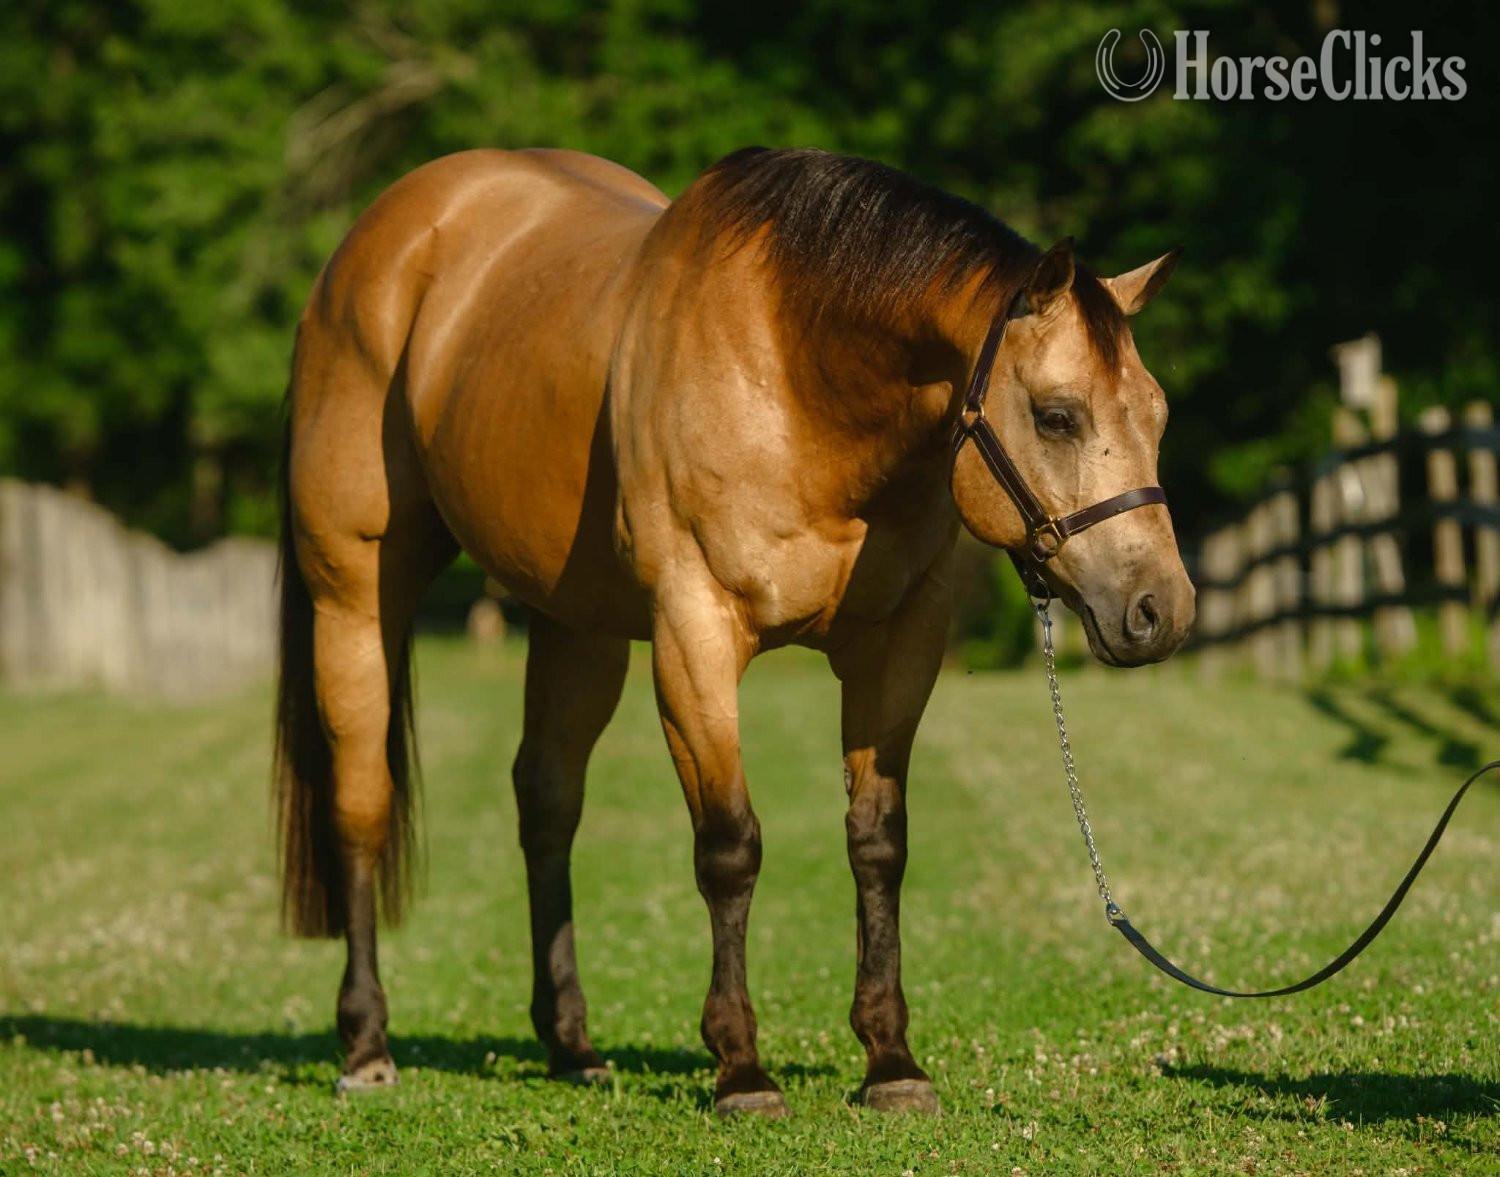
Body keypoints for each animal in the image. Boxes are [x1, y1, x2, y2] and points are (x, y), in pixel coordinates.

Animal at [275, 146, 1194, 1117]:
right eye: (1057, 415)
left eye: (1158, 413)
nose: (1160, 609)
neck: (799, 382)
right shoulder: (695, 637)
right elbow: (729, 846)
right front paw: (741, 1068)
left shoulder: (899, 645)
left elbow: (879, 841)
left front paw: (890, 1060)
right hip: (354, 597)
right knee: (361, 803)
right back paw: (366, 1044)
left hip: (575, 628)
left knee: (547, 803)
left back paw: (570, 1043)